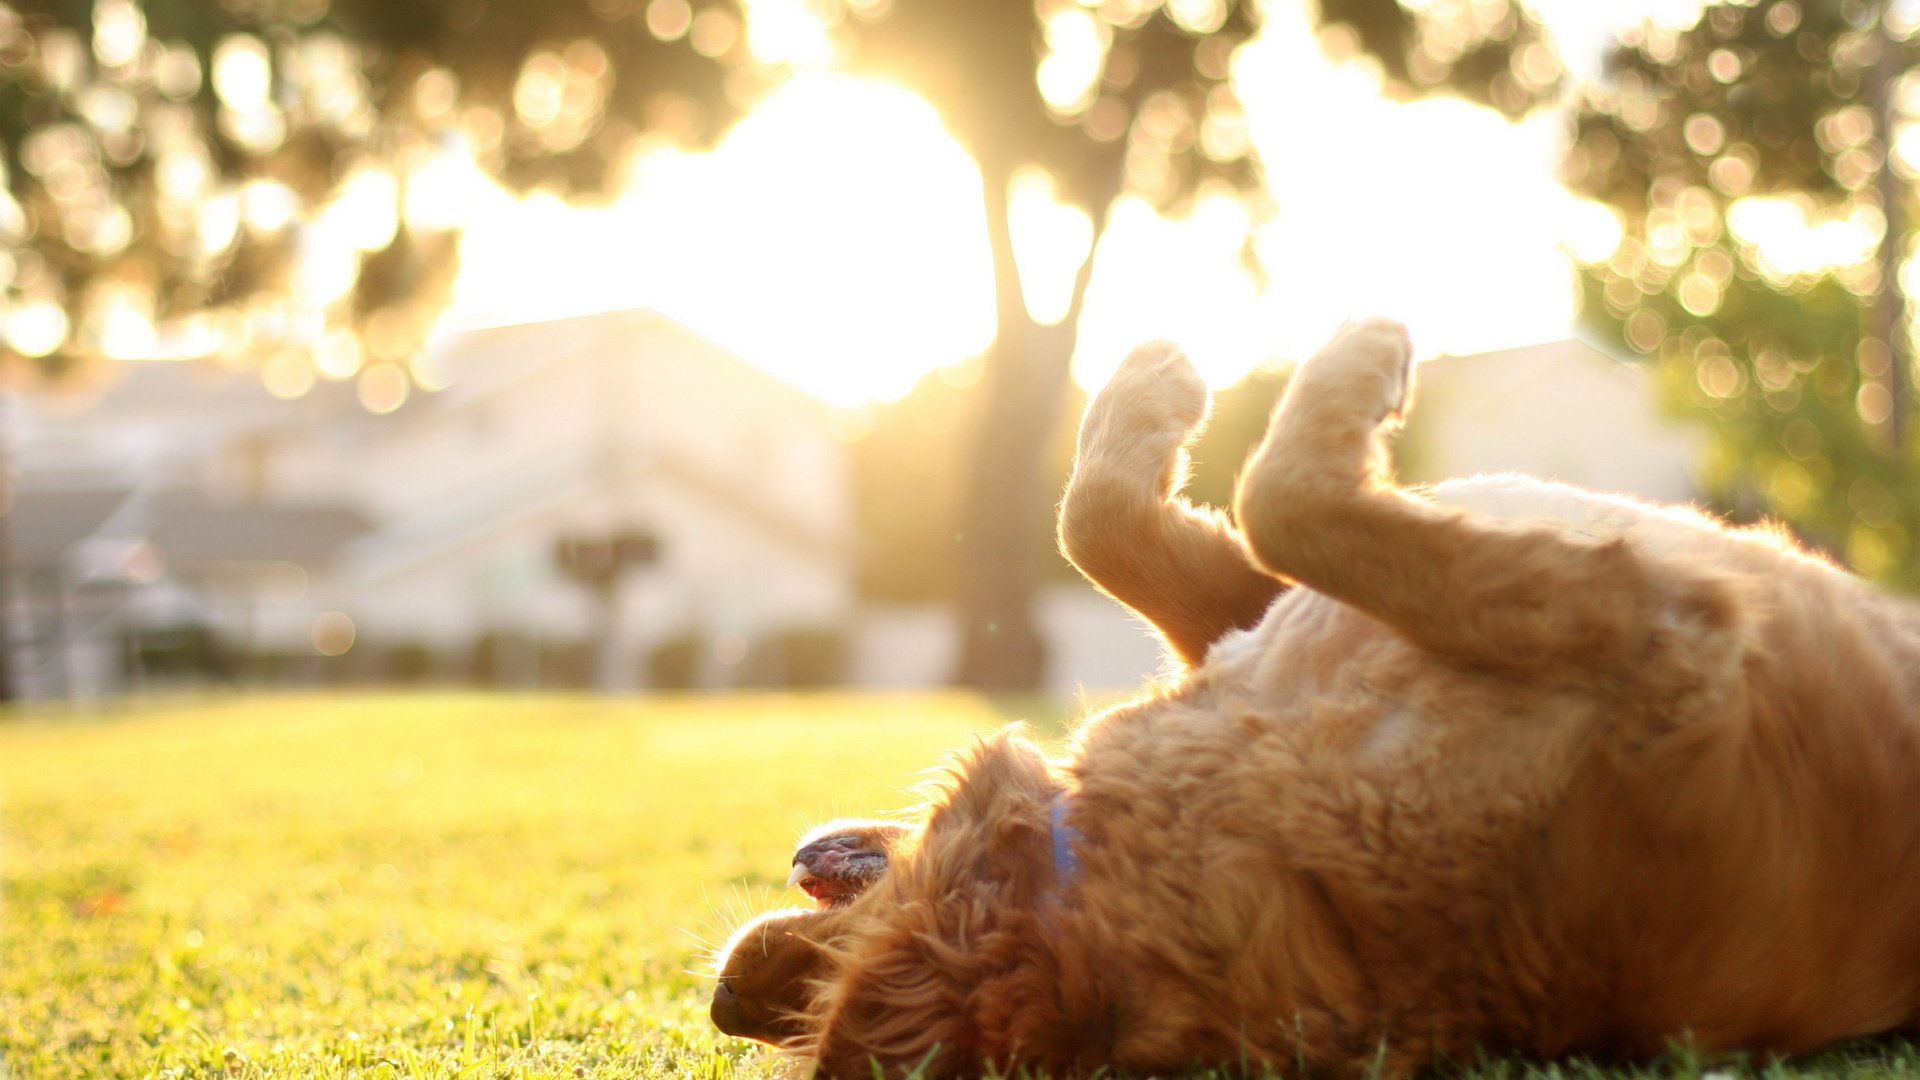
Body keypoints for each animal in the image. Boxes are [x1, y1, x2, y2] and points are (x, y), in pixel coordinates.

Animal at [714, 320, 1920, 1076]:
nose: (727, 1002)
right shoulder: (1655, 630)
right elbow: (1282, 497)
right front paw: (1345, 356)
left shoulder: (1260, 616)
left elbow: (1103, 521)